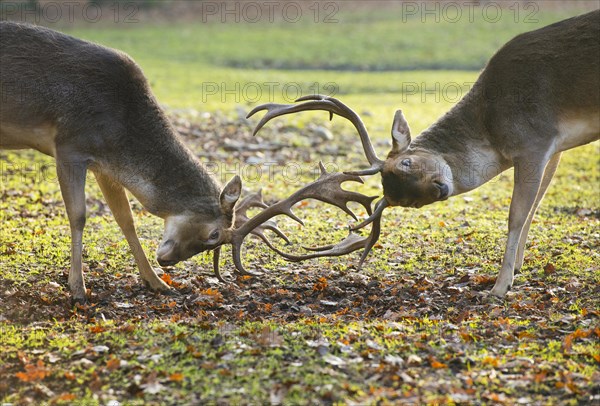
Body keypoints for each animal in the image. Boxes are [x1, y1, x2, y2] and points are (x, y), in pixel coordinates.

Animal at [245, 10, 600, 298]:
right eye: (409, 203)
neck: (492, 125)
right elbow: (534, 207)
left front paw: (498, 288)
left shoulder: (534, 138)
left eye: (407, 161)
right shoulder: (553, 148)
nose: (440, 187)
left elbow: (516, 214)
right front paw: (515, 270)